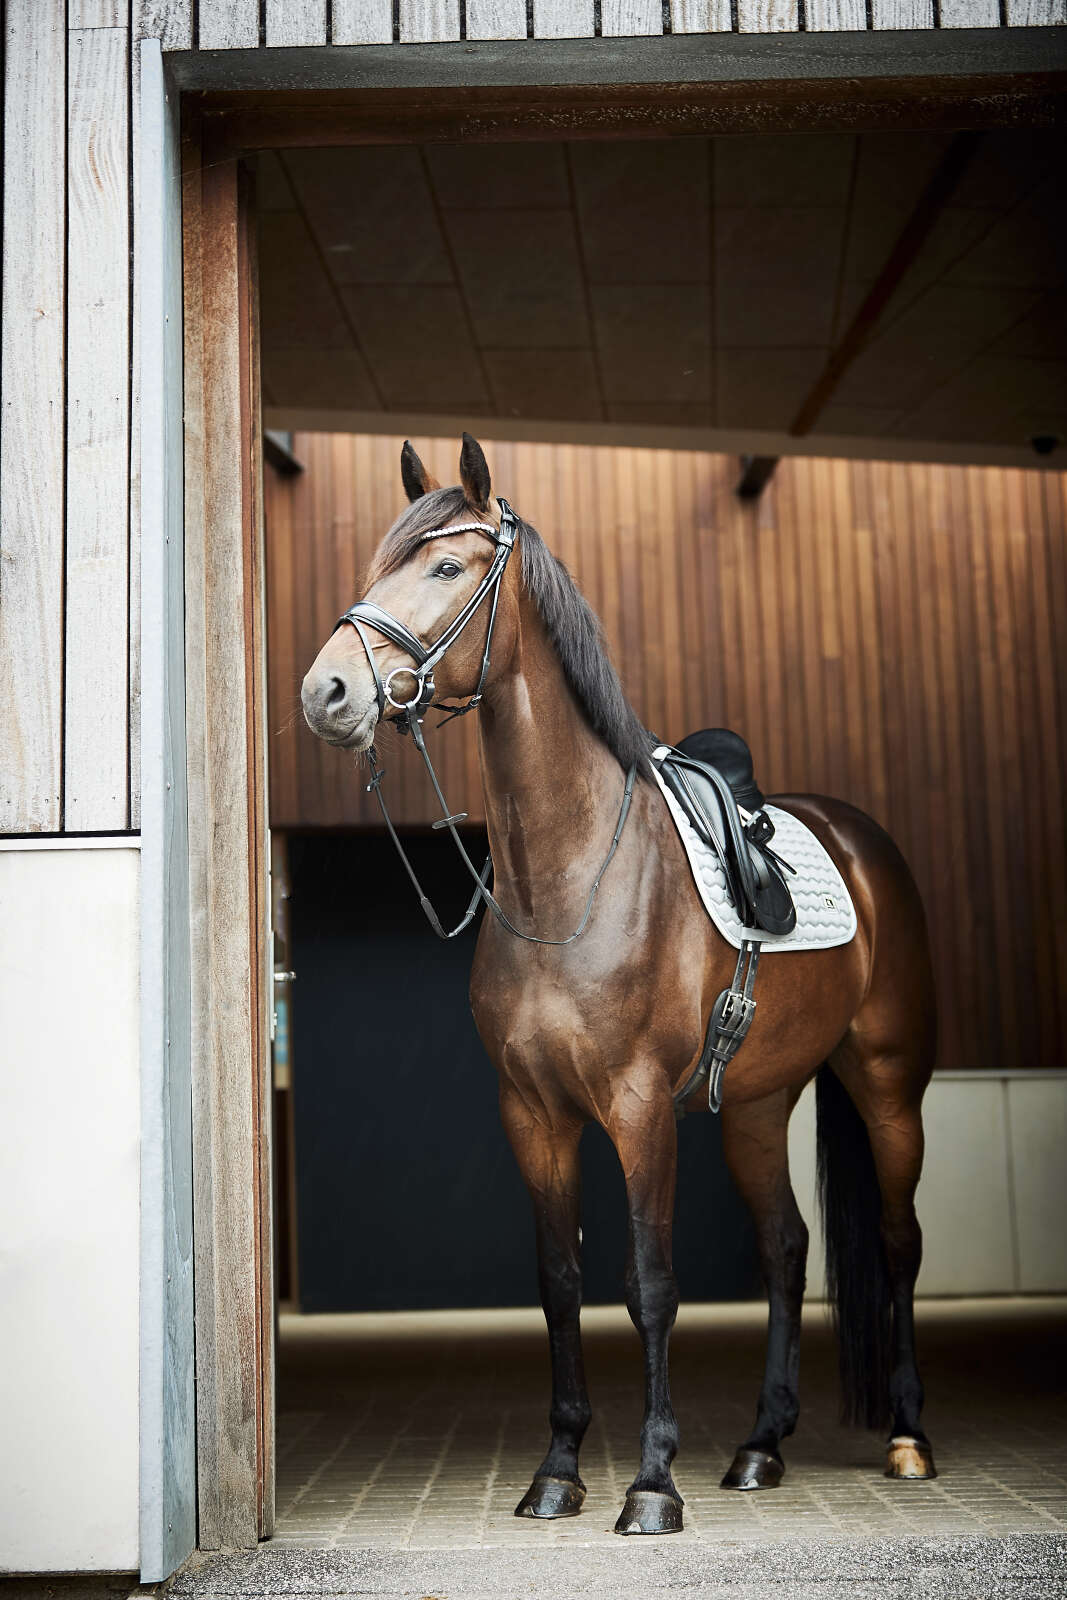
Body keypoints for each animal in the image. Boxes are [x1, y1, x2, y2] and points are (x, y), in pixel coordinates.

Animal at [300, 433, 937, 1536]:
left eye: (446, 567)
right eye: (377, 565)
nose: (325, 692)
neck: (564, 881)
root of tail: (865, 843)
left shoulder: (636, 1108)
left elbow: (648, 1284)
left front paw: (650, 1481)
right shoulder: (533, 1112)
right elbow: (559, 1283)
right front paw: (558, 1468)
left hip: (887, 1085)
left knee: (898, 1242)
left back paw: (904, 1437)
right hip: (755, 1104)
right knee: (784, 1245)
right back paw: (760, 1446)